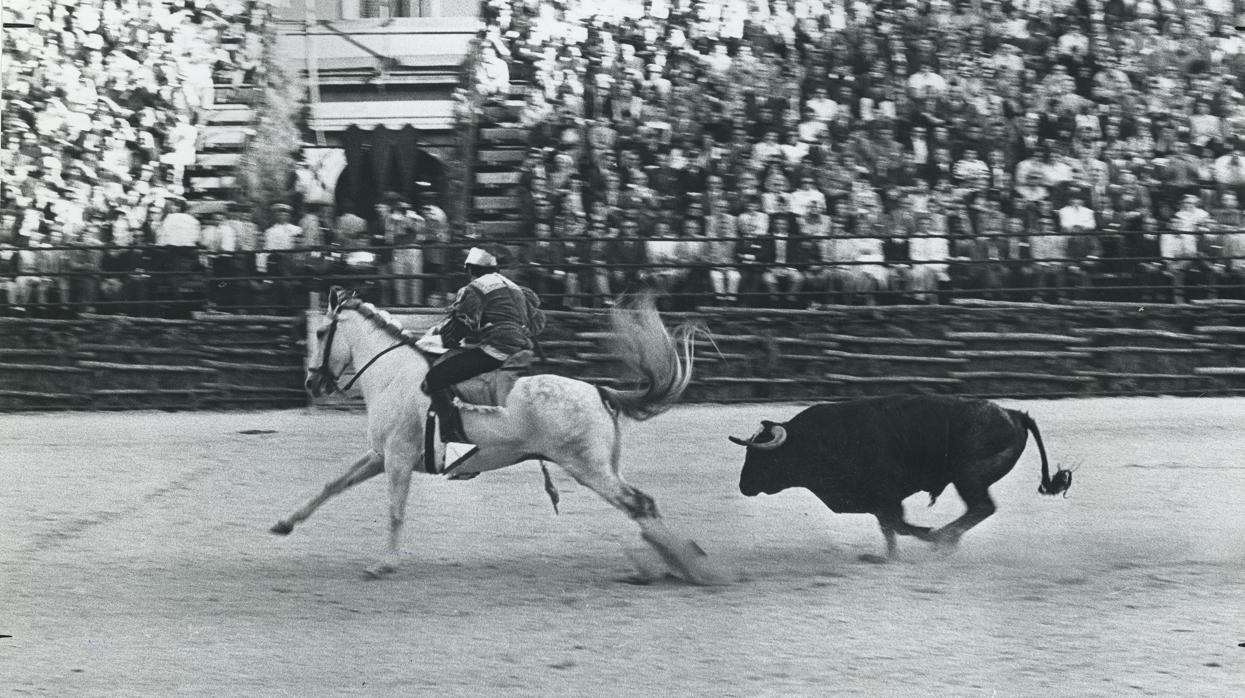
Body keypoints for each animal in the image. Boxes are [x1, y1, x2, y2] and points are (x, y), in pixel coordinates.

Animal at [267, 287, 727, 582]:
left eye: (322, 333)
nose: (312, 383)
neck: (393, 374)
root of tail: (598, 391)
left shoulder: (397, 460)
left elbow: (395, 512)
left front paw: (385, 564)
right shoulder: (380, 456)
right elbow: (332, 485)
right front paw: (285, 523)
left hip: (591, 470)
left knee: (639, 505)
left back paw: (689, 567)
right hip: (602, 469)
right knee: (643, 504)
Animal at [732, 395, 1075, 557]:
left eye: (762, 457)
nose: (743, 486)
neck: (817, 441)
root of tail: (1014, 414)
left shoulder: (888, 495)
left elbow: (897, 524)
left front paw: (930, 535)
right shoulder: (878, 503)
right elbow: (889, 529)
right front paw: (891, 556)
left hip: (969, 477)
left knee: (982, 507)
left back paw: (945, 540)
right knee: (979, 509)